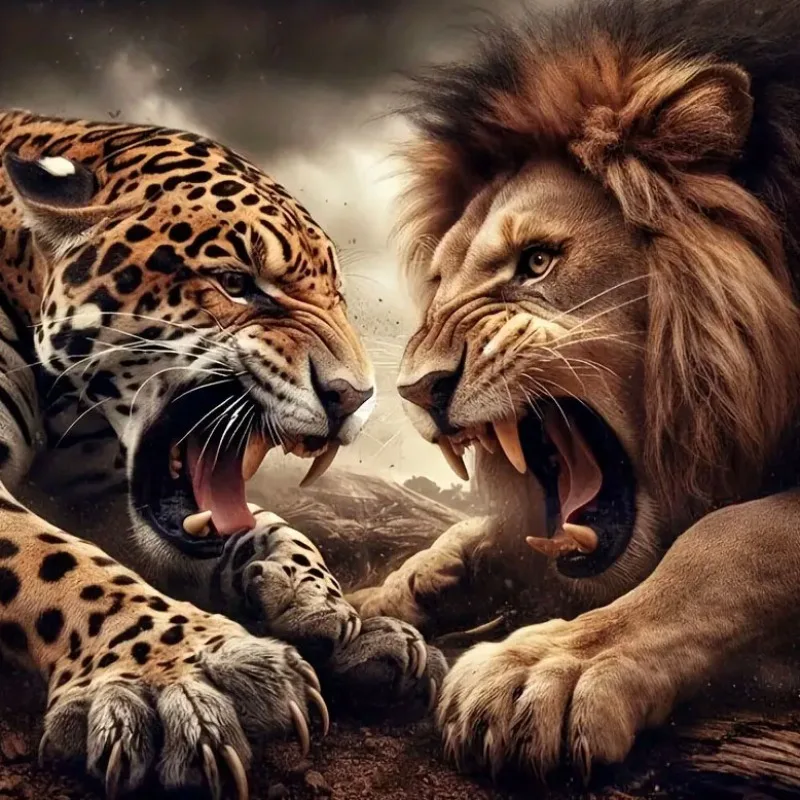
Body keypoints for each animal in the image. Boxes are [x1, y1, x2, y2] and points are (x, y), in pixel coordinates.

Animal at [0, 109, 446, 798]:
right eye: (236, 284)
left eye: (339, 299)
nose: (356, 397)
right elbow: (58, 560)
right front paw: (169, 675)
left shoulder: (98, 495)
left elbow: (274, 526)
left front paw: (330, 610)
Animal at [348, 0, 800, 783]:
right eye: (439, 284)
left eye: (536, 262)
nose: (415, 390)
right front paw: (400, 587)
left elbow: (726, 540)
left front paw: (550, 666)